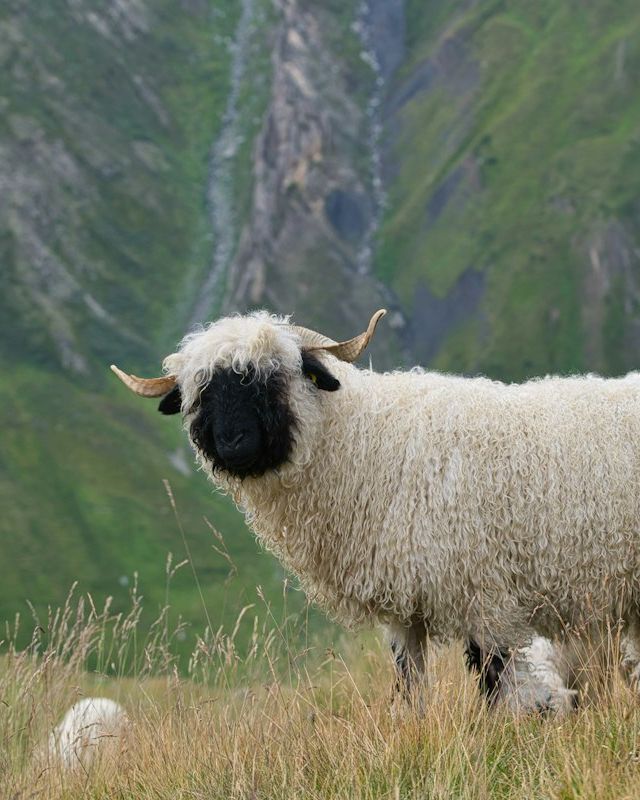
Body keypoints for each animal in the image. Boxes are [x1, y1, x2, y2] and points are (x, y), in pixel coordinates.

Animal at [112, 309, 640, 713]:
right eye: (201, 392)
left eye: (272, 379)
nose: (233, 444)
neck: (367, 444)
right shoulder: (404, 612)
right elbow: (408, 685)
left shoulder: (483, 595)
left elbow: (495, 683)